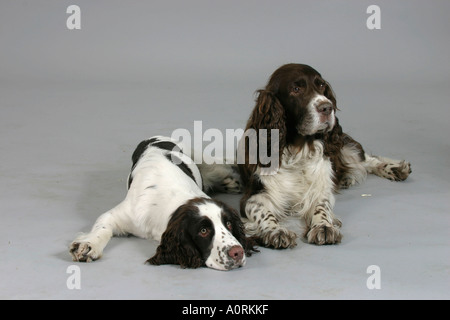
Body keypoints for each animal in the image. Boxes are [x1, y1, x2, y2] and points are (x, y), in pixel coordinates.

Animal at [239, 63, 412, 249]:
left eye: (321, 85)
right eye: (296, 89)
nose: (327, 107)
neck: (298, 151)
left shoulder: (320, 187)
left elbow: (321, 206)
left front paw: (323, 226)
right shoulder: (253, 195)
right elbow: (263, 211)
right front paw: (275, 231)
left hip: (344, 145)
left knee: (366, 159)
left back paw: (396, 168)